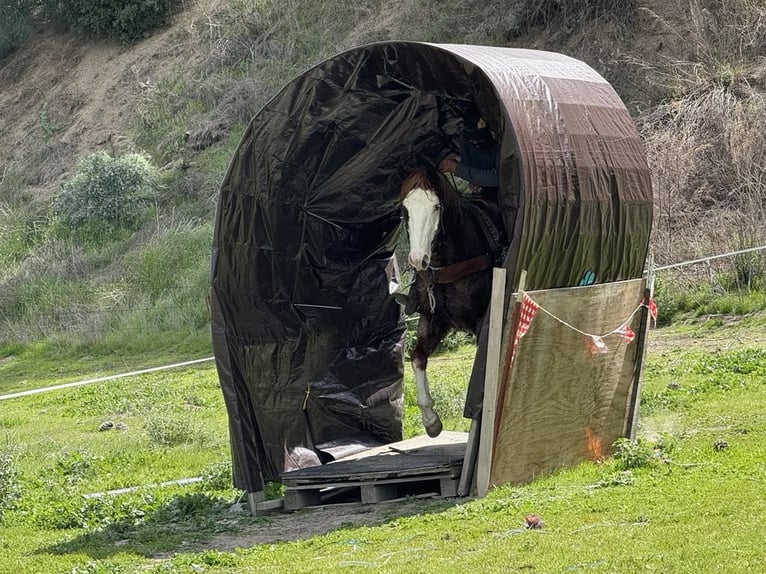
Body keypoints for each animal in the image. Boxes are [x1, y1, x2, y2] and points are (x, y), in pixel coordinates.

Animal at [399, 165, 506, 437]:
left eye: (436, 207)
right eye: (405, 209)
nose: (417, 259)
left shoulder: (482, 324)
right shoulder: (432, 320)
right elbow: (417, 358)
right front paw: (431, 421)